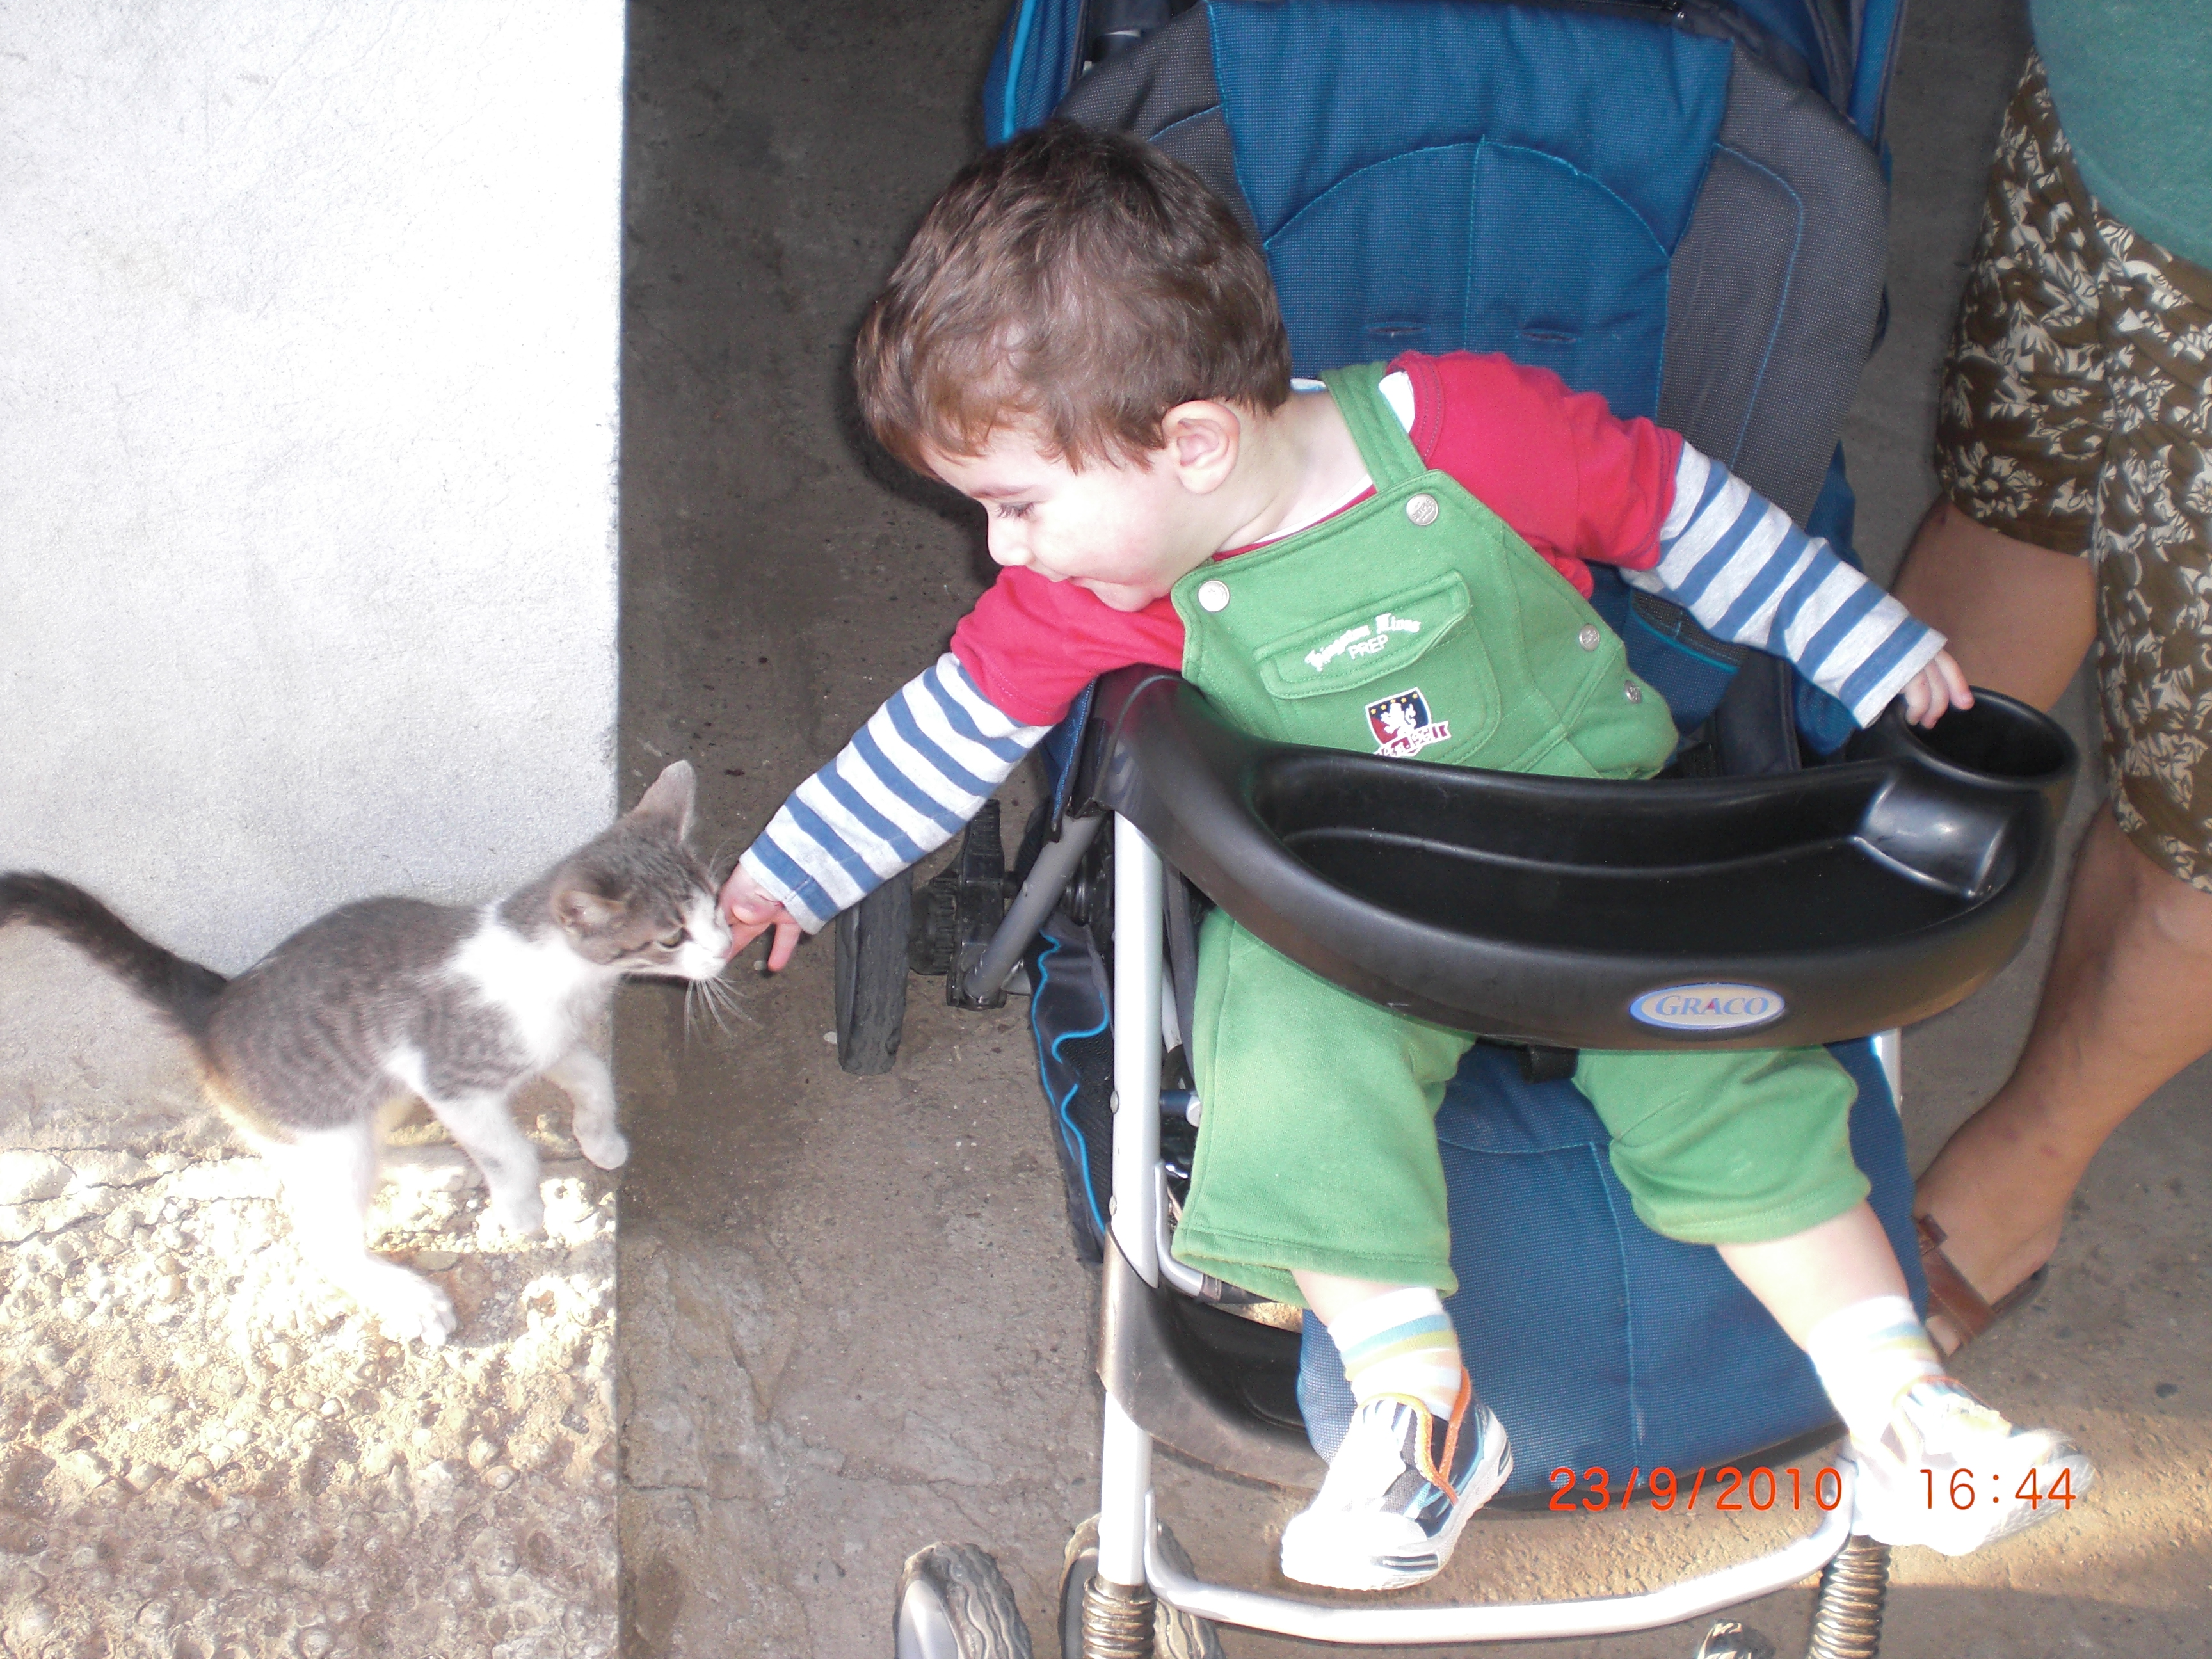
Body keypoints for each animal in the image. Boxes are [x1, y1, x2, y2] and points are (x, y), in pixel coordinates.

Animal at [0, 760, 732, 1346]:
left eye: (715, 904)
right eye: (671, 937)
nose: (726, 947)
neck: (563, 974)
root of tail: (215, 1004)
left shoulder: (545, 1045)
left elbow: (593, 1074)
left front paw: (600, 1139)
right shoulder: (452, 1079)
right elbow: (510, 1150)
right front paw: (522, 1210)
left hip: (371, 1098)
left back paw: (434, 1167)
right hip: (328, 1123)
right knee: (327, 1236)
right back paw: (409, 1296)